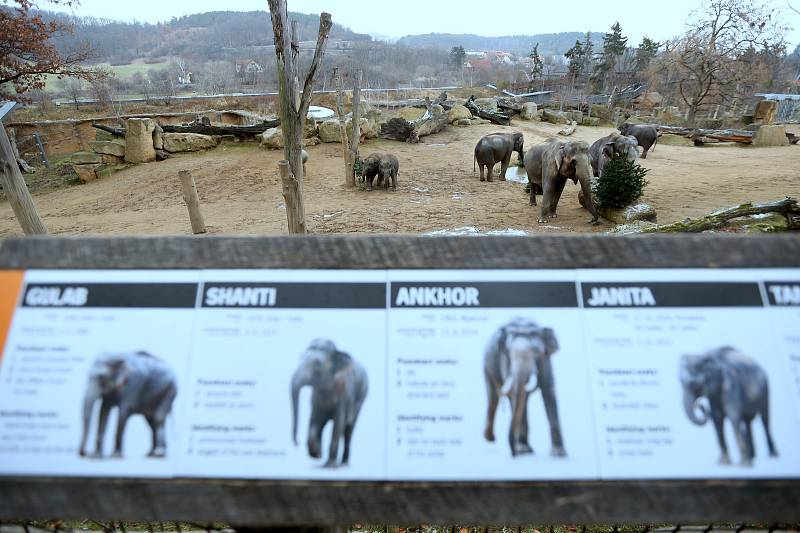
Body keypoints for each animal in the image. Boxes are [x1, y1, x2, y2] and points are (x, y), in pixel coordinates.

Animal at [290, 336, 368, 466]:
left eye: (317, 364)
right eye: (300, 358)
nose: (297, 443)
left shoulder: (344, 394)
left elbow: (339, 423)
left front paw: (329, 466)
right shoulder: (315, 398)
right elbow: (315, 420)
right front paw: (317, 455)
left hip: (361, 398)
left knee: (348, 429)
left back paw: (344, 463)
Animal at [484, 316, 564, 458]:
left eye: (537, 352)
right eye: (510, 353)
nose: (513, 454)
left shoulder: (545, 359)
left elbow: (549, 391)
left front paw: (559, 453)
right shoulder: (504, 360)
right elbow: (516, 395)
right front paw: (523, 451)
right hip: (487, 367)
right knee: (493, 398)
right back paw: (491, 439)